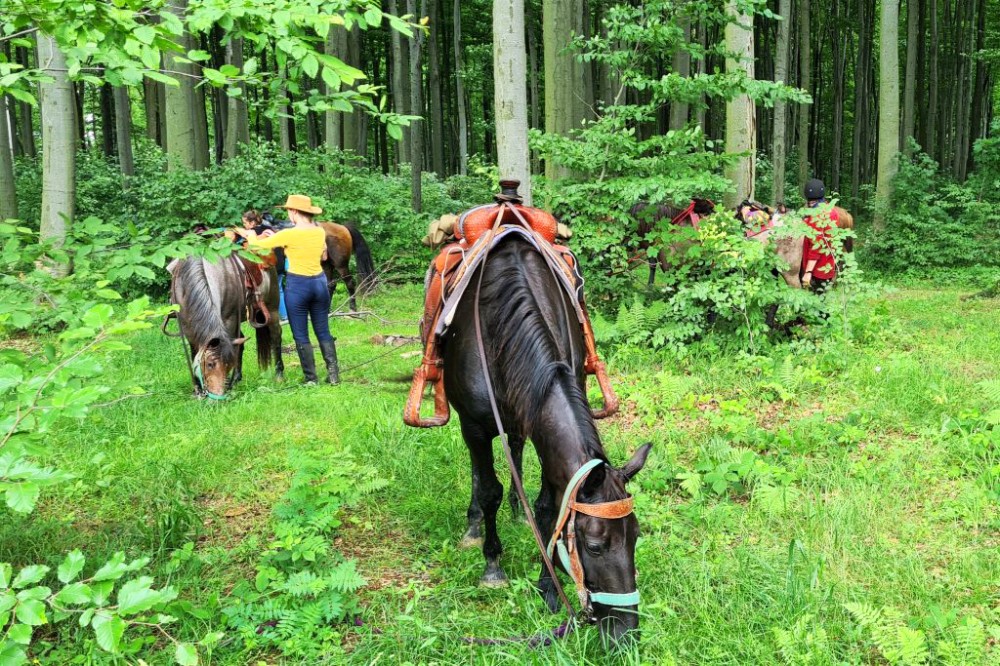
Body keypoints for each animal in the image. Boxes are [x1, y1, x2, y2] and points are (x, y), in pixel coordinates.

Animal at [168, 256, 284, 396]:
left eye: (228, 364)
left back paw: (279, 375)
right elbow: (194, 353)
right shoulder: (187, 327)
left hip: (271, 310)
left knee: (276, 337)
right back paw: (237, 378)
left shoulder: (230, 319)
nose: (218, 394)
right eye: (210, 364)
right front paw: (198, 389)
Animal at [444, 235, 648, 644]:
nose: (625, 632)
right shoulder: (475, 425)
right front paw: (493, 567)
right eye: (595, 546)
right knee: (480, 472)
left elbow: (551, 507)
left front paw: (549, 586)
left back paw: (517, 511)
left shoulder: (538, 418)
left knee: (515, 449)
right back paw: (474, 527)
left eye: (635, 537)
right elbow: (488, 490)